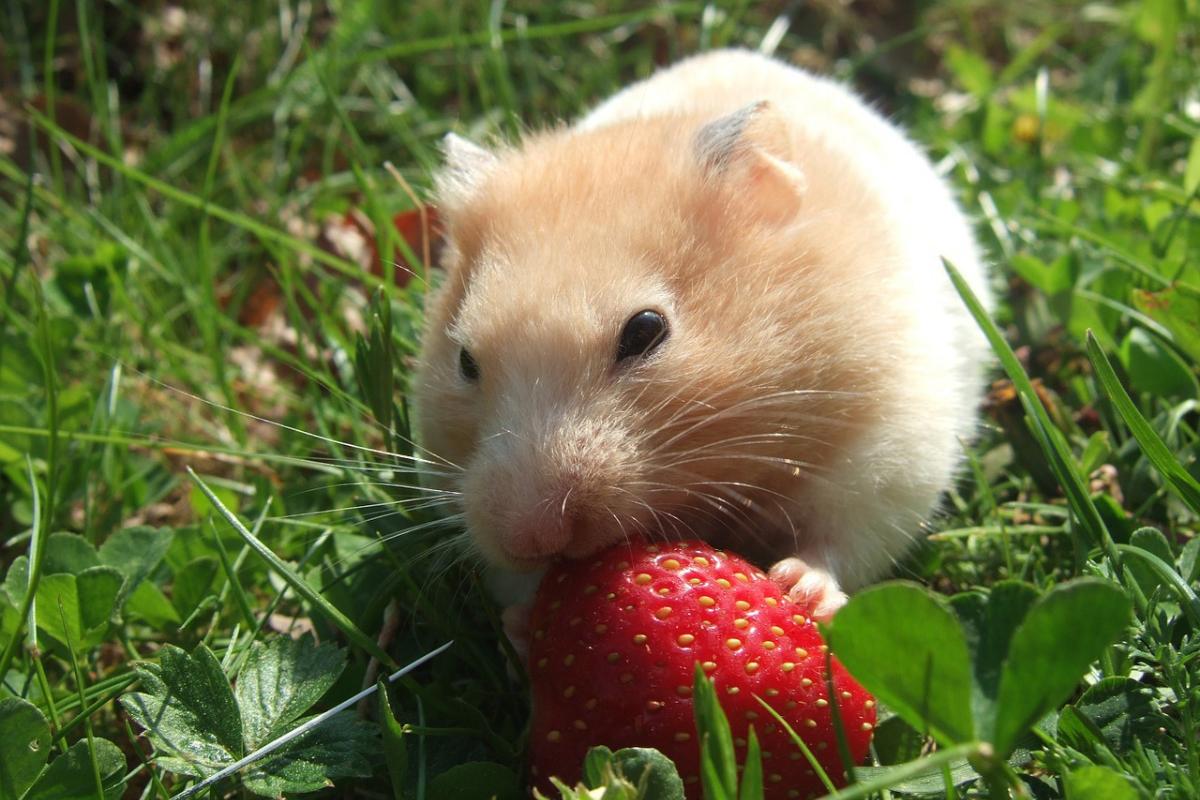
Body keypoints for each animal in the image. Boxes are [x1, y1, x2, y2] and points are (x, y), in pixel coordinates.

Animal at [413, 49, 991, 622]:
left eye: (646, 330)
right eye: (464, 360)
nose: (531, 538)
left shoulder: (888, 451)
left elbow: (840, 541)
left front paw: (797, 589)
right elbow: (516, 586)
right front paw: (523, 618)